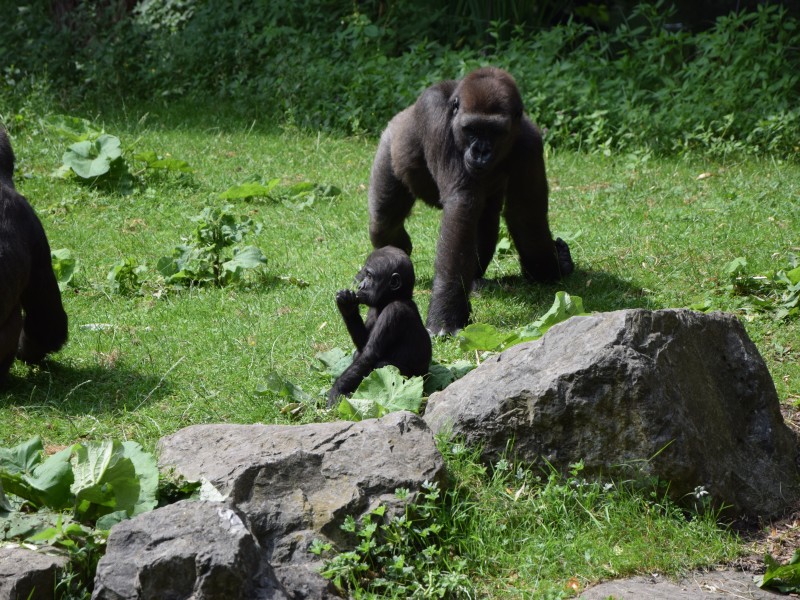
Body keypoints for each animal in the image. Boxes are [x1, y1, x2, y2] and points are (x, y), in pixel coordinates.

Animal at [326, 245, 432, 408]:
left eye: (369, 276)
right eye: (365, 275)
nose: (360, 286)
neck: (393, 298)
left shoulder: (394, 311)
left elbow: (370, 354)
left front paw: (336, 391)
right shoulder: (372, 307)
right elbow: (363, 347)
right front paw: (347, 307)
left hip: (420, 379)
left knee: (383, 364)